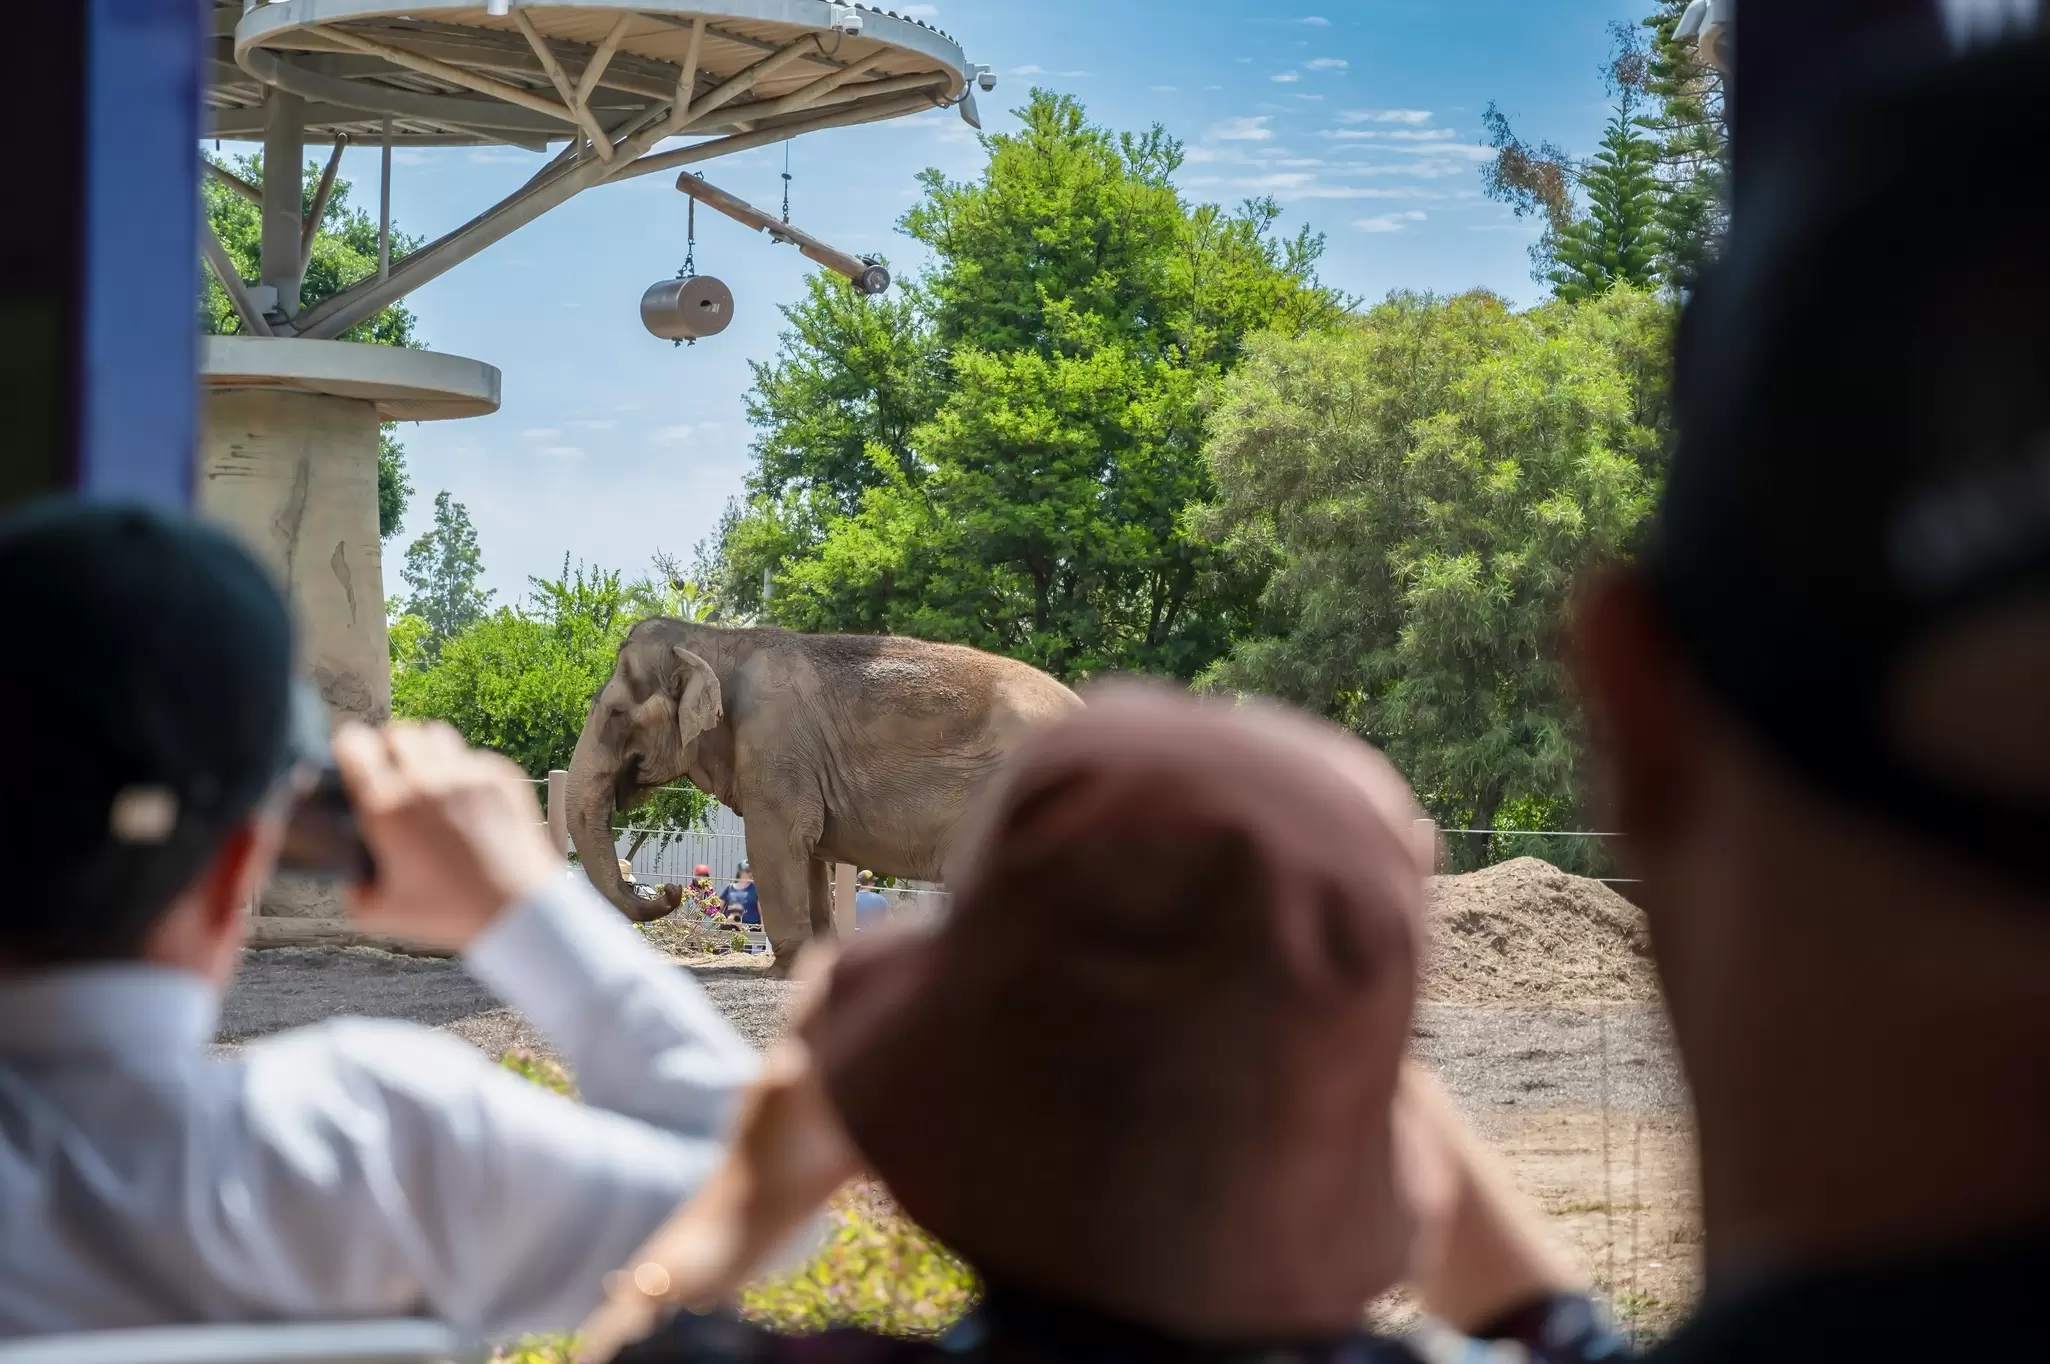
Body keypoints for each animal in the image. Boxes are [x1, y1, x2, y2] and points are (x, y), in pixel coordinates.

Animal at [566, 618, 1081, 965]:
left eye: (615, 715)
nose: (670, 889)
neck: (715, 639)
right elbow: (809, 855)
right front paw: (820, 957)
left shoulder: (774, 745)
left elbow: (777, 841)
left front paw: (790, 966)